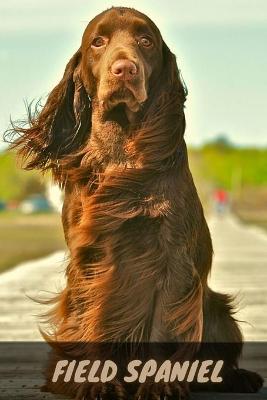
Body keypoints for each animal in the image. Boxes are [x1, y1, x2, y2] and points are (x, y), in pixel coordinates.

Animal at [7, 6, 264, 400]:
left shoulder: (171, 258)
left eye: (146, 41)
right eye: (98, 41)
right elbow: (92, 319)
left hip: (219, 310)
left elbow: (163, 326)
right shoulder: (91, 259)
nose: (124, 69)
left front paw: (160, 383)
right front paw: (93, 382)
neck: (122, 150)